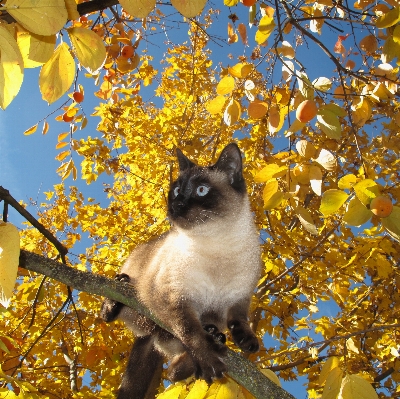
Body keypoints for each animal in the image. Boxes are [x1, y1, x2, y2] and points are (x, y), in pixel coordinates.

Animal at [99, 144, 260, 399]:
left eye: (202, 190)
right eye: (175, 191)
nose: (176, 206)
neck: (219, 245)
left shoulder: (240, 296)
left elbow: (240, 318)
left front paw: (246, 341)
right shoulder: (175, 299)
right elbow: (191, 333)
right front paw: (209, 361)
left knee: (174, 369)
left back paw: (214, 338)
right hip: (142, 303)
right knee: (112, 315)